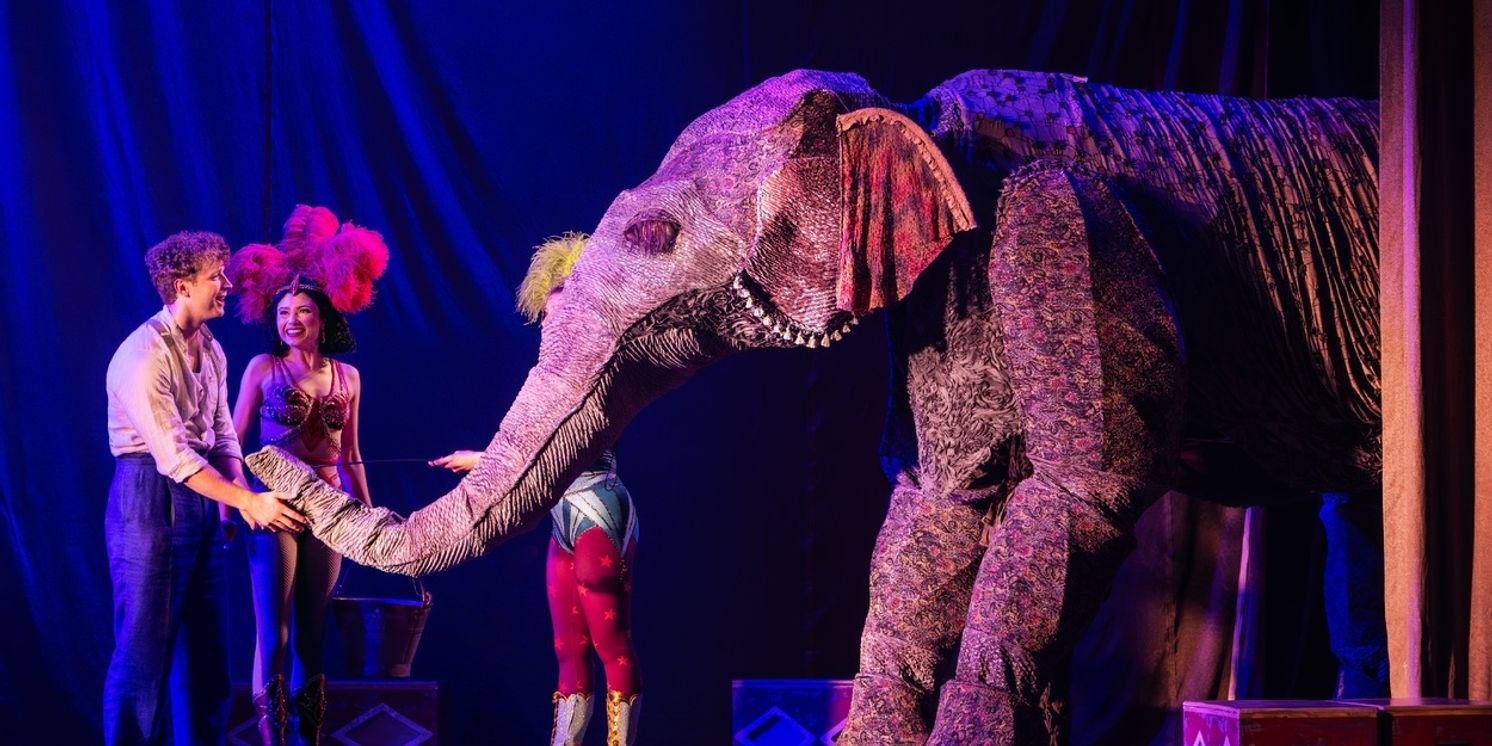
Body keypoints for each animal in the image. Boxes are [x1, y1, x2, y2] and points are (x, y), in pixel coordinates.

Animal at [247, 69, 1379, 743]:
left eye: (655, 236)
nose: (265, 463)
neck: (915, 122)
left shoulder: (1064, 226)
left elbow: (1078, 490)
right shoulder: (940, 295)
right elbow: (941, 497)